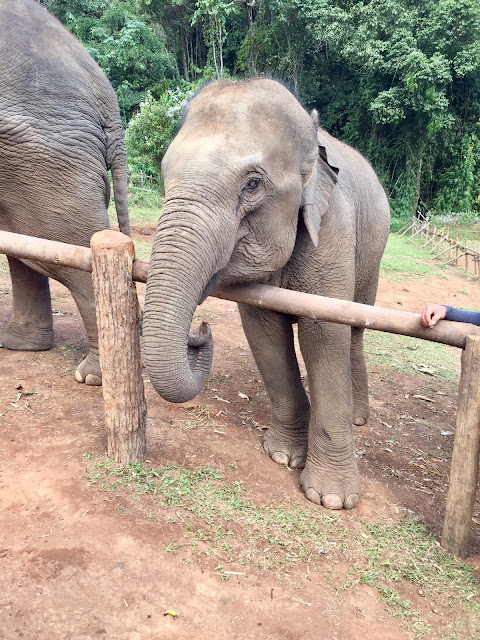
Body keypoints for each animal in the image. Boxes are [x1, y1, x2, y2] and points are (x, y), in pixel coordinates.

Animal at [143, 78, 390, 510]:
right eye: (164, 174)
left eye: (253, 184)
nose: (199, 330)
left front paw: (332, 499)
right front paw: (284, 456)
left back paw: (358, 417)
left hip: (372, 255)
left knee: (355, 329)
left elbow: (324, 335)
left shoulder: (333, 231)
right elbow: (264, 334)